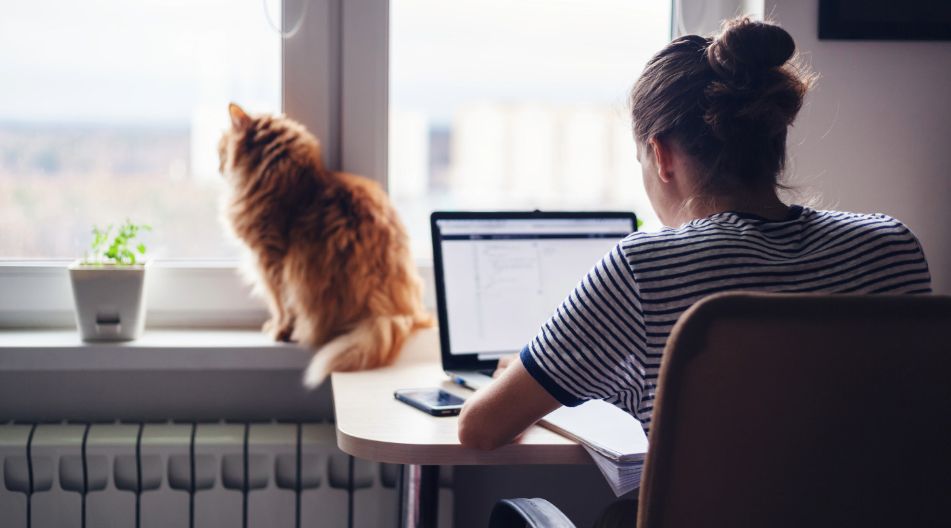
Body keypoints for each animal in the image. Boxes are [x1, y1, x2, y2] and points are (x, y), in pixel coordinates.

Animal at [218, 103, 434, 388]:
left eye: (221, 148)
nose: (218, 165)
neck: (290, 180)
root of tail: (391, 311)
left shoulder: (270, 260)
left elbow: (280, 305)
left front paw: (278, 330)